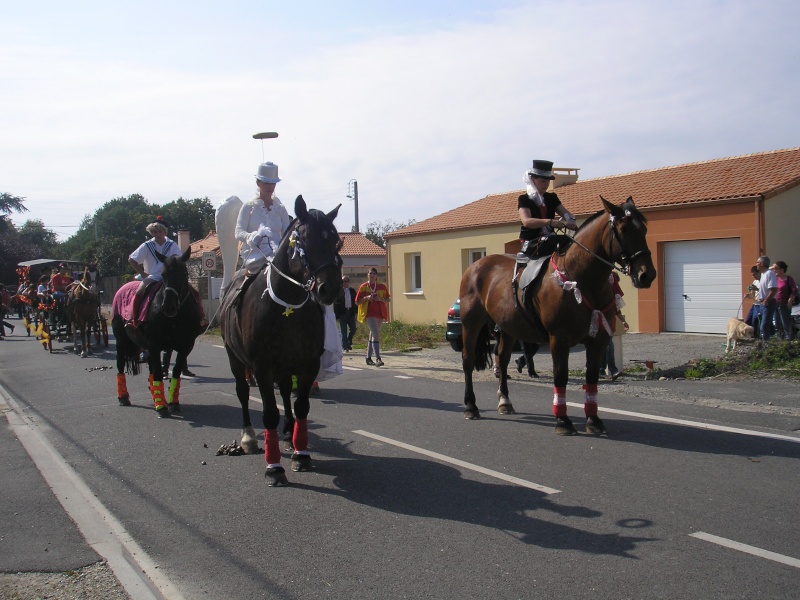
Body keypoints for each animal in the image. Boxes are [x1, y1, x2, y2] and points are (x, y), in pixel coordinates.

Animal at [111, 246, 200, 414]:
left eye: (184, 274)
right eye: (163, 275)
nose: (169, 307)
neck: (175, 318)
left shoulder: (185, 347)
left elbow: (175, 372)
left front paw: (172, 403)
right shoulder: (154, 345)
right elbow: (158, 372)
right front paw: (162, 407)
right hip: (121, 342)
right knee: (120, 365)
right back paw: (123, 397)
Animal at [217, 197, 342, 488]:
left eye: (335, 240)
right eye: (304, 239)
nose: (329, 289)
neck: (288, 306)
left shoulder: (308, 364)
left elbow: (301, 406)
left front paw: (301, 453)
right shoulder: (261, 367)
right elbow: (269, 413)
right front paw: (274, 467)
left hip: (285, 365)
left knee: (285, 391)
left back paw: (288, 432)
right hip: (234, 357)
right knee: (242, 392)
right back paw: (249, 437)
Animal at [456, 197, 656, 436]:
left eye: (644, 229)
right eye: (624, 229)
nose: (647, 275)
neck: (580, 278)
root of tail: (476, 265)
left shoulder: (598, 340)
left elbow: (591, 377)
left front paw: (593, 420)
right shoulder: (559, 339)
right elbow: (560, 375)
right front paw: (563, 421)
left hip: (508, 327)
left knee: (502, 359)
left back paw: (505, 401)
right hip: (471, 323)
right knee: (468, 360)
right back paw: (470, 406)